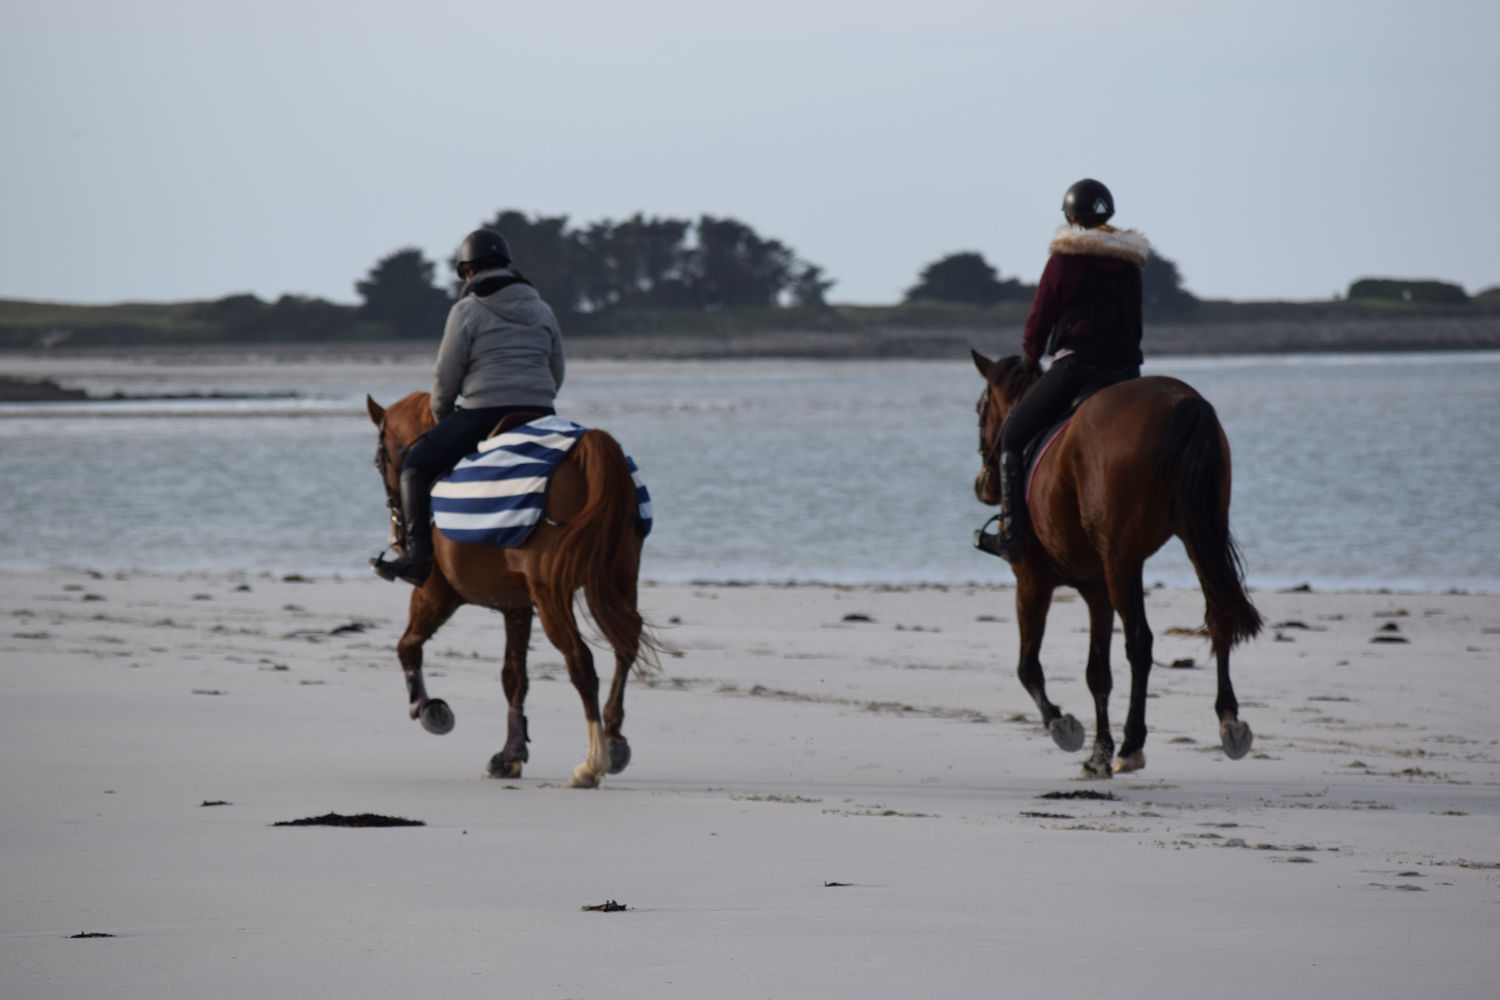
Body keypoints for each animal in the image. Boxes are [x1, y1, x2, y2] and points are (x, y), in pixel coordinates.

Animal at [364, 389, 657, 791]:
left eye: (379, 461)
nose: (398, 535)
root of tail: (589, 448)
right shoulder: (516, 607)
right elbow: (514, 678)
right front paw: (510, 755)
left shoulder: (435, 594)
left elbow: (407, 646)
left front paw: (428, 709)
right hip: (616, 582)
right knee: (625, 646)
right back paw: (613, 741)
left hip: (552, 595)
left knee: (581, 661)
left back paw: (591, 762)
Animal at [966, 355, 1260, 779]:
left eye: (980, 410)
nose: (982, 485)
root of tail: (1181, 402)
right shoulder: (1096, 590)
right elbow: (1097, 674)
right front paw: (1098, 753)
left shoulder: (1032, 580)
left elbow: (1028, 666)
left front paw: (1063, 726)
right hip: (1198, 538)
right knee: (1219, 617)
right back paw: (1229, 721)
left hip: (1123, 561)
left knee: (1140, 642)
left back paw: (1132, 744)